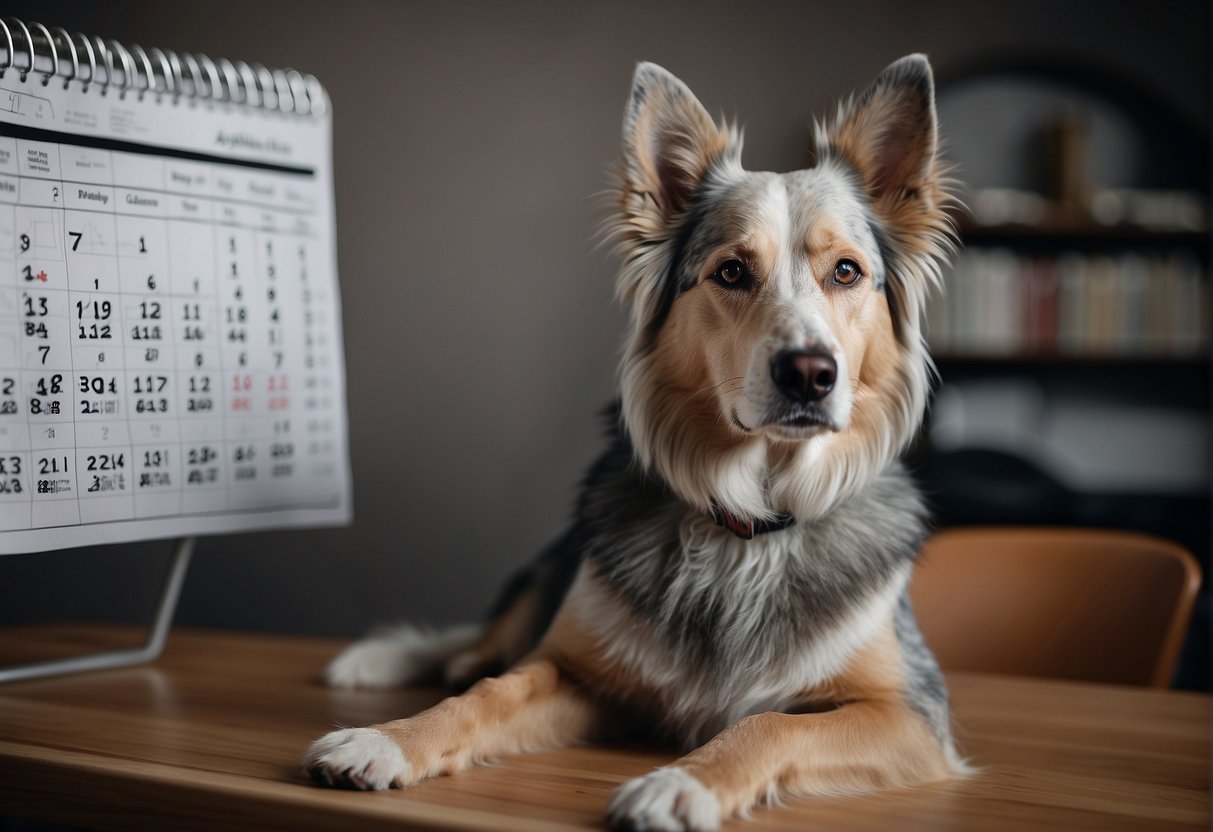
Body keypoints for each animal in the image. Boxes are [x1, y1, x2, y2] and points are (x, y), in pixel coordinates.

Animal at [303, 55, 965, 829]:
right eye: (732, 271)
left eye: (847, 272)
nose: (810, 373)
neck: (749, 526)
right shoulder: (572, 671)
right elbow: (488, 694)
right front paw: (385, 740)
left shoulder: (911, 714)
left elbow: (772, 723)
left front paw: (680, 783)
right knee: (481, 648)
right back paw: (393, 661)